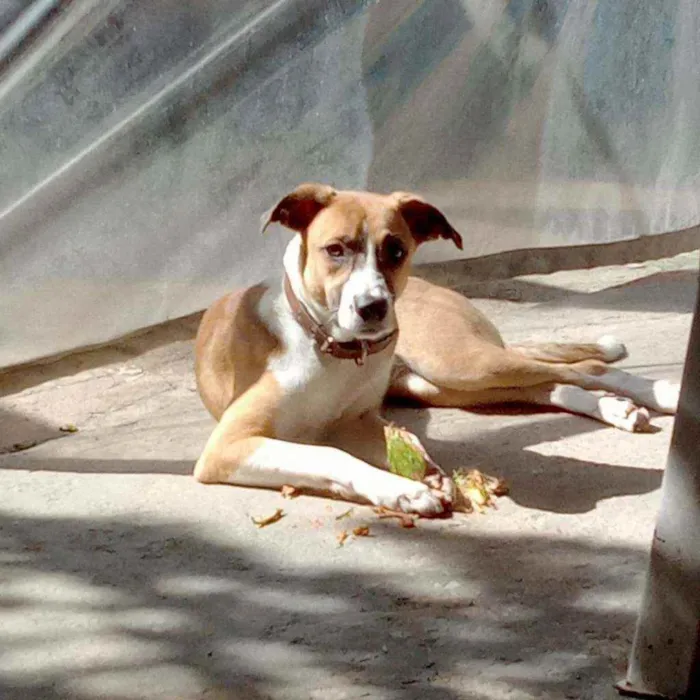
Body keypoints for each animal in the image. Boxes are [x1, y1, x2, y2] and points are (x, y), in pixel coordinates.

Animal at [191, 183, 680, 516]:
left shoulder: (342, 425)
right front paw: (403, 488)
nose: (374, 308)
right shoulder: (229, 445)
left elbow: (337, 451)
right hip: (440, 385)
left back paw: (658, 394)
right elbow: (332, 454)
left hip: (459, 363)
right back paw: (617, 408)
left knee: (584, 367)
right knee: (546, 383)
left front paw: (409, 484)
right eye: (335, 250)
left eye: (396, 250)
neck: (328, 348)